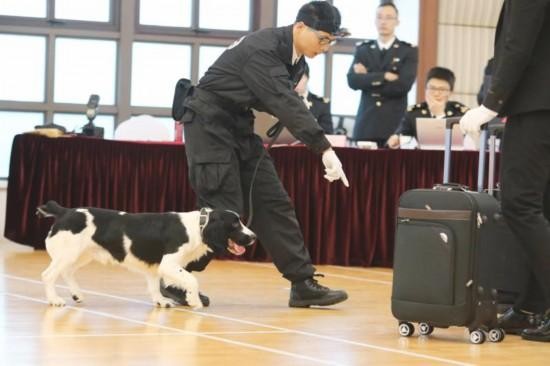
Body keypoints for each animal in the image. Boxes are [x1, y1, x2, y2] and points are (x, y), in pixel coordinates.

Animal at [36, 200, 256, 308]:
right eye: (235, 224)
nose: (253, 237)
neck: (198, 225)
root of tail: (64, 212)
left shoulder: (155, 266)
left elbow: (154, 285)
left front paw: (161, 301)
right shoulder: (169, 263)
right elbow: (191, 280)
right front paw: (194, 300)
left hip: (81, 254)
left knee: (67, 272)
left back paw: (77, 294)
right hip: (69, 253)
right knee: (48, 275)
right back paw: (54, 300)